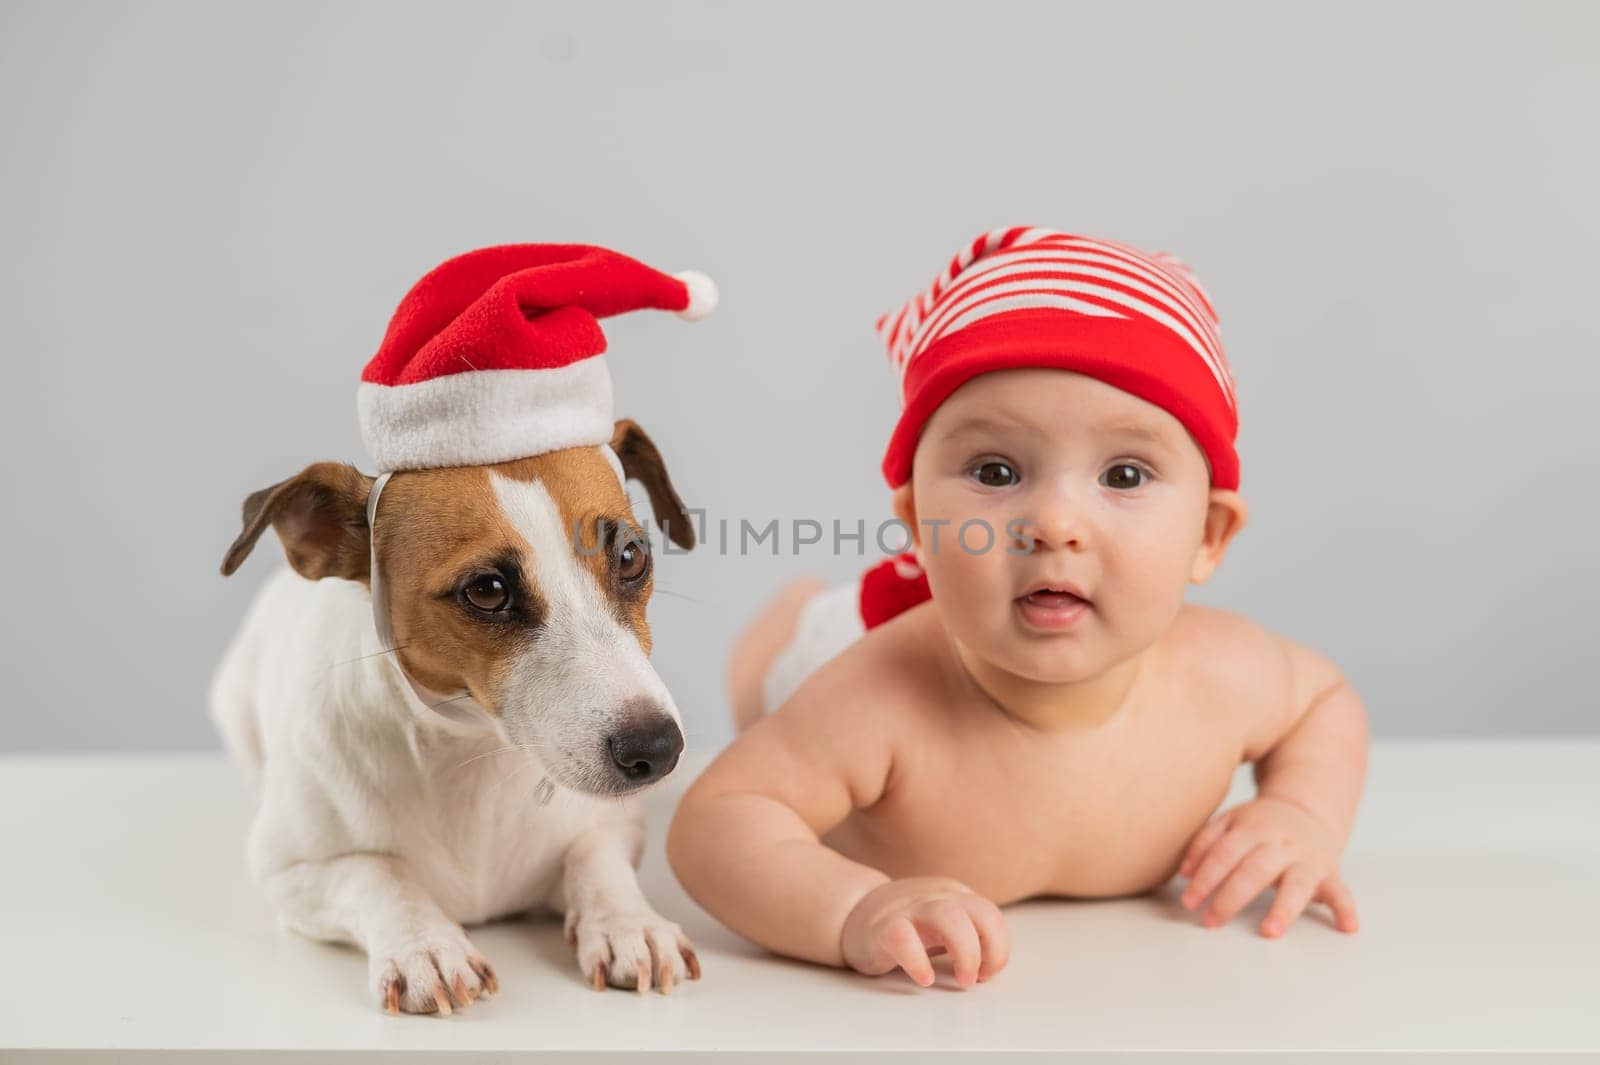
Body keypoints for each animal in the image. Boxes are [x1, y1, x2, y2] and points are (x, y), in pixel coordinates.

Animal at [206, 415, 700, 1010]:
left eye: (631, 557)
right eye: (487, 590)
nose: (658, 748)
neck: (473, 756)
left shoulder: (616, 825)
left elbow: (596, 858)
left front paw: (629, 924)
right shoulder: (291, 870)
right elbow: (377, 876)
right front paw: (426, 946)